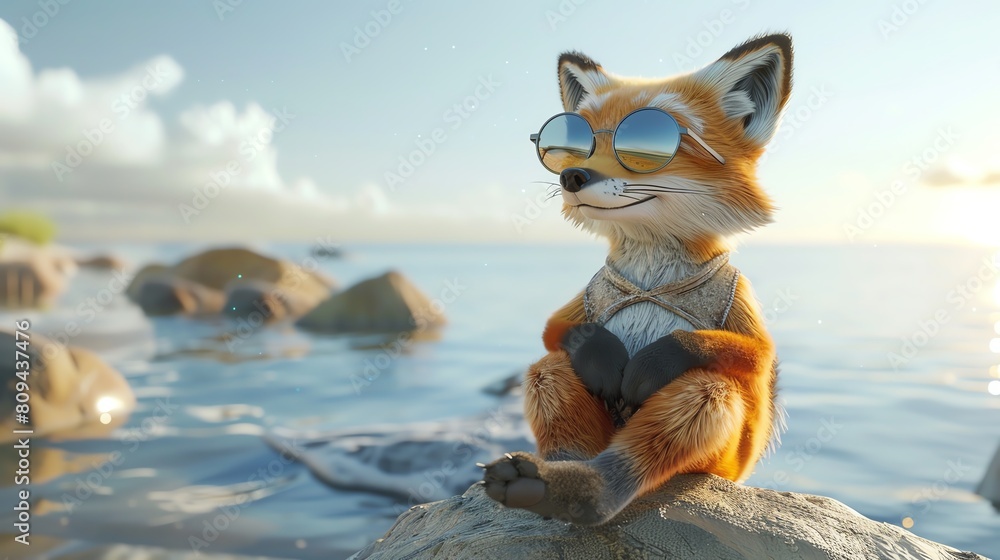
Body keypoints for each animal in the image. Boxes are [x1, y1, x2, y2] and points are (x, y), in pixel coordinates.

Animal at [480, 33, 792, 525]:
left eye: (648, 146)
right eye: (575, 142)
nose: (572, 175)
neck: (651, 269)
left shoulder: (737, 297)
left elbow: (755, 352)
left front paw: (650, 364)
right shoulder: (586, 297)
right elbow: (556, 329)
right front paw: (605, 357)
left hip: (711, 421)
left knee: (684, 410)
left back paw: (582, 494)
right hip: (558, 385)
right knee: (551, 371)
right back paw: (547, 486)